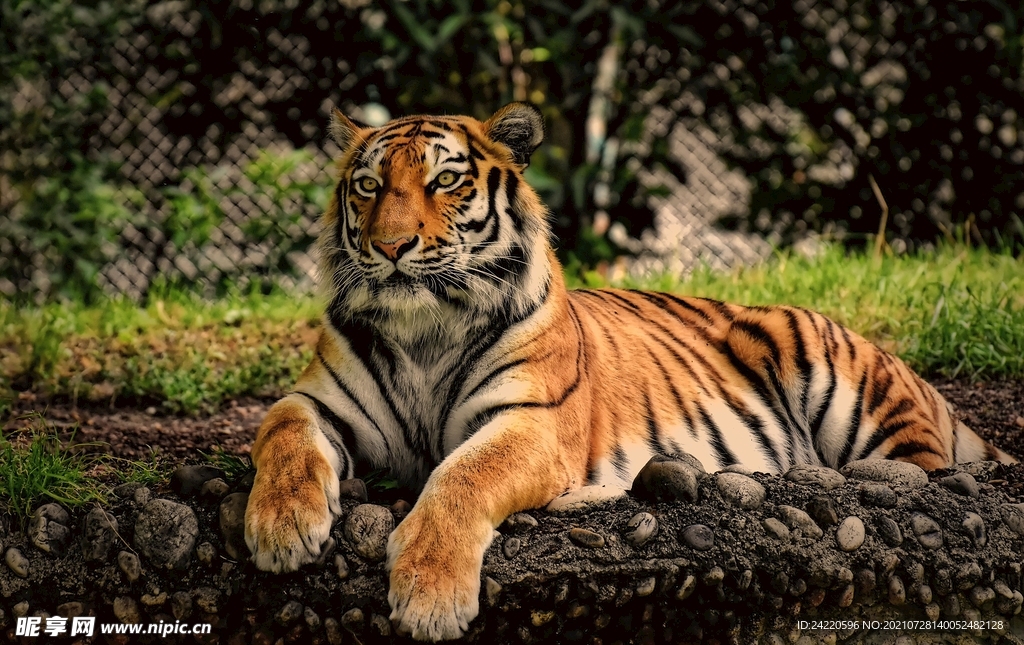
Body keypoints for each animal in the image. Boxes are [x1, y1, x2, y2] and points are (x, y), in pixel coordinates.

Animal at [243, 102, 1016, 641]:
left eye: (445, 181)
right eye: (369, 186)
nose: (391, 245)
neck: (424, 328)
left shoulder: (531, 422)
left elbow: (461, 477)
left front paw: (429, 596)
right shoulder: (319, 400)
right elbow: (280, 432)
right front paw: (281, 529)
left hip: (851, 389)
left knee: (922, 473)